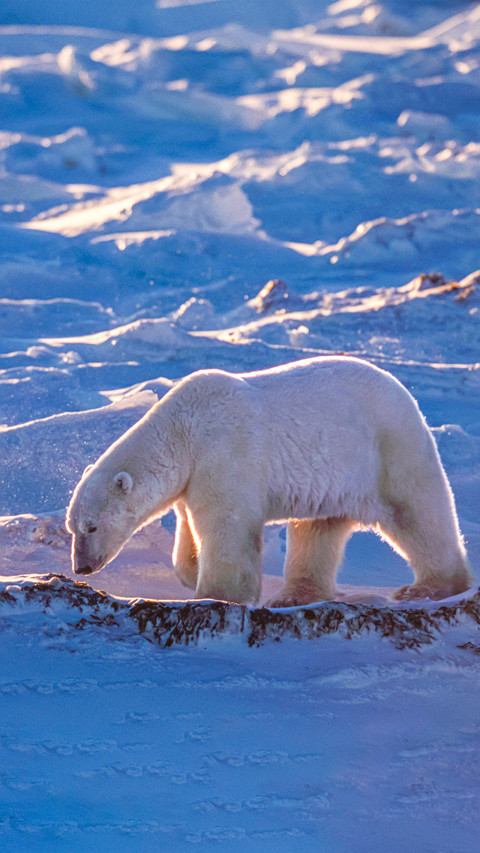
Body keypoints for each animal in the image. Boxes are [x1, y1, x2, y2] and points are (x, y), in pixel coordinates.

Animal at [66, 356, 473, 606]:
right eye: (73, 527)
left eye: (91, 526)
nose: (80, 568)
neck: (183, 432)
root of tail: (405, 394)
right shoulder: (191, 480)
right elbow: (189, 533)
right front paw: (193, 572)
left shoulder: (225, 456)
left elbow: (227, 527)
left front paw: (217, 592)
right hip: (336, 477)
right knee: (318, 528)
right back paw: (296, 595)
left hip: (388, 450)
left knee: (416, 514)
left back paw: (429, 587)